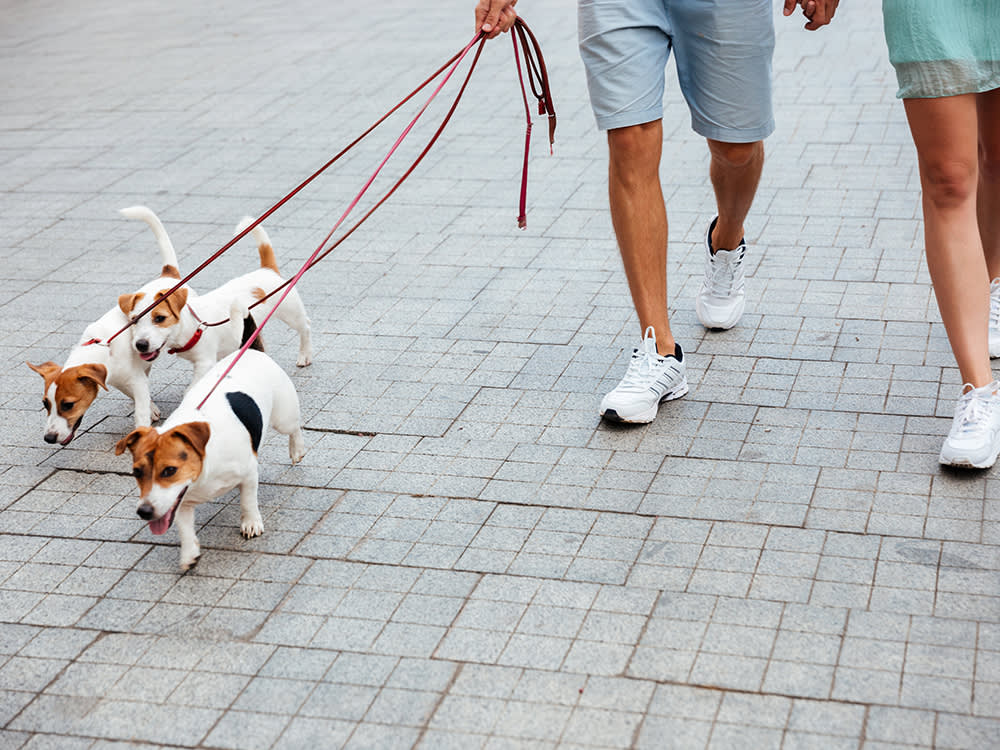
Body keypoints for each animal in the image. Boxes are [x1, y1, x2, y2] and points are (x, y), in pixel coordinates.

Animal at [28, 206, 188, 446]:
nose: (49, 438)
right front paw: (151, 409)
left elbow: (140, 411)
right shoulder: (123, 380)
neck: (104, 349)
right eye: (45, 404)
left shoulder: (135, 381)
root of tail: (168, 276)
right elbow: (139, 396)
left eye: (68, 404)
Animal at [116, 350, 304, 572]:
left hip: (284, 417)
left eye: (169, 470)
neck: (203, 470)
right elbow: (185, 529)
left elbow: (248, 501)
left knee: (295, 428)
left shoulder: (249, 473)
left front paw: (251, 523)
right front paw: (189, 553)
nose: (144, 511)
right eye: (136, 472)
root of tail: (252, 350)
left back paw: (297, 449)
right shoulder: (180, 501)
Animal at [125, 214, 312, 384]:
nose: (140, 344)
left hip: (291, 313)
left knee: (305, 327)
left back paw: (304, 355)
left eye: (160, 318)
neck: (194, 324)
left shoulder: (204, 362)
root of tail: (267, 269)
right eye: (134, 320)